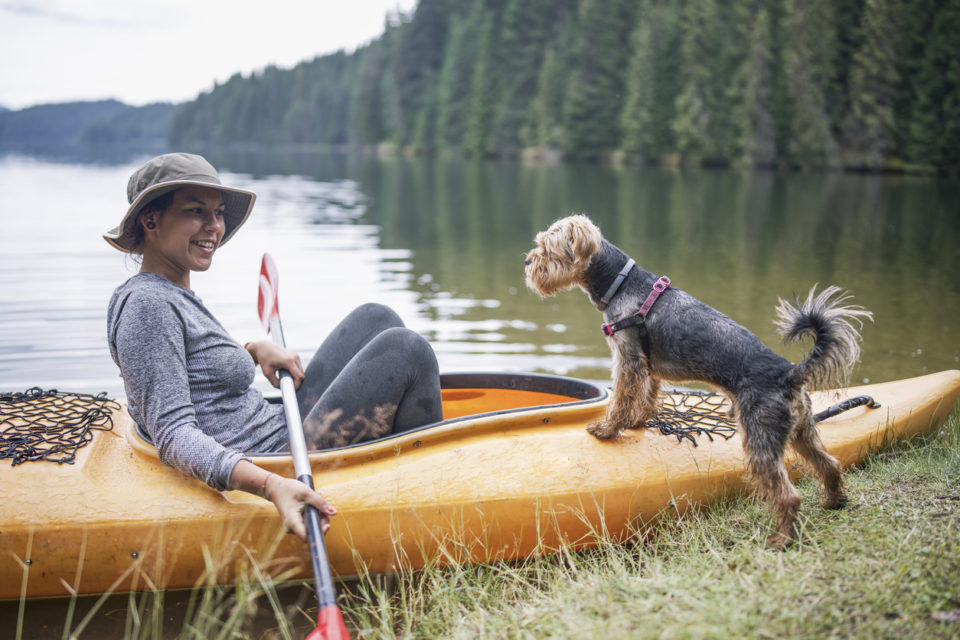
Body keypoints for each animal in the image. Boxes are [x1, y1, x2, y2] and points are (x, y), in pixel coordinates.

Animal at [524, 215, 872, 552]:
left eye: (547, 248)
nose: (528, 261)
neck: (621, 284)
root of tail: (790, 373)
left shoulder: (628, 359)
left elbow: (622, 398)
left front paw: (608, 429)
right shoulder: (648, 366)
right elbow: (647, 397)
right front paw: (637, 422)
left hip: (760, 438)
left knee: (788, 494)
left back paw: (781, 540)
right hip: (802, 431)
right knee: (829, 464)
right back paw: (834, 501)